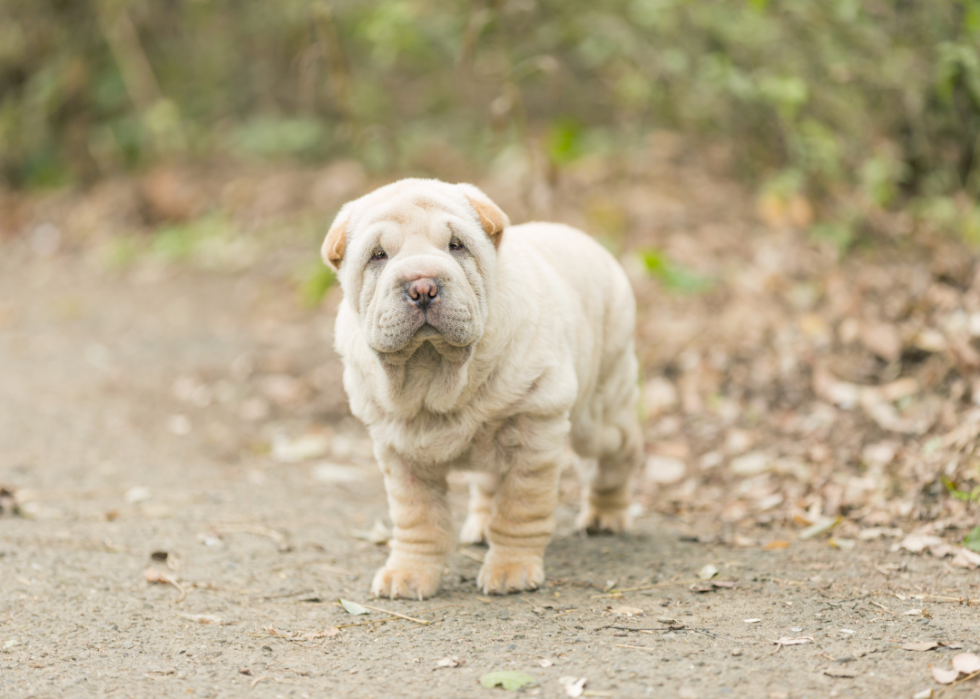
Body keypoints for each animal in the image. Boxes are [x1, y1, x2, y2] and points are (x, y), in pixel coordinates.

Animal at [322, 178, 644, 600]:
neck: (434, 373)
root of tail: (586, 241)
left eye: (456, 246)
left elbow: (520, 507)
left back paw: (606, 515)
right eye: (378, 255)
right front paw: (408, 573)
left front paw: (511, 569)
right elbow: (416, 518)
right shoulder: (397, 450)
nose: (423, 286)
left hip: (599, 415)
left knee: (618, 454)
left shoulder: (534, 430)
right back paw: (479, 526)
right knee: (489, 480)